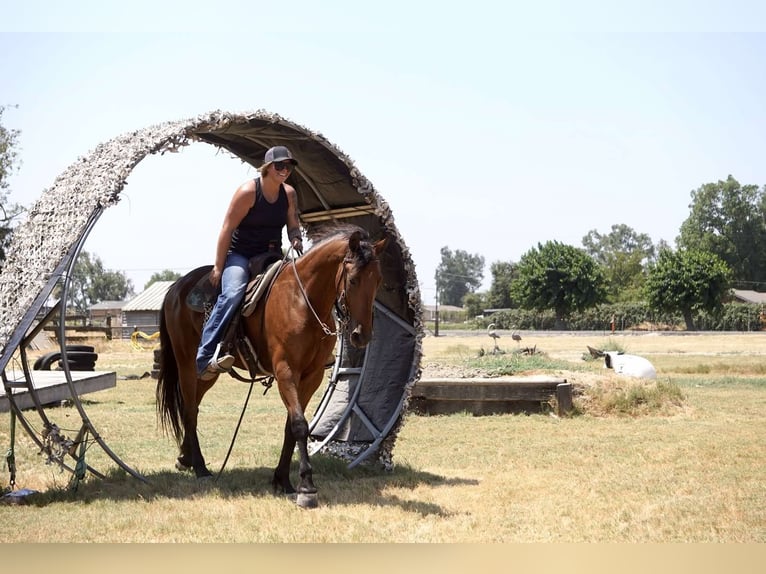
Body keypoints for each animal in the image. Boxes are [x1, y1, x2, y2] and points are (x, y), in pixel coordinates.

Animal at [156, 225, 387, 507]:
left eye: (378, 281)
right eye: (353, 280)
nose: (361, 335)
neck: (302, 300)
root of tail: (176, 288)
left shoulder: (311, 377)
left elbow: (291, 426)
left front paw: (283, 480)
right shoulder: (286, 371)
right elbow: (299, 424)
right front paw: (307, 488)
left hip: (207, 374)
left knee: (194, 408)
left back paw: (185, 458)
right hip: (187, 364)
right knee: (189, 409)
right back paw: (200, 468)